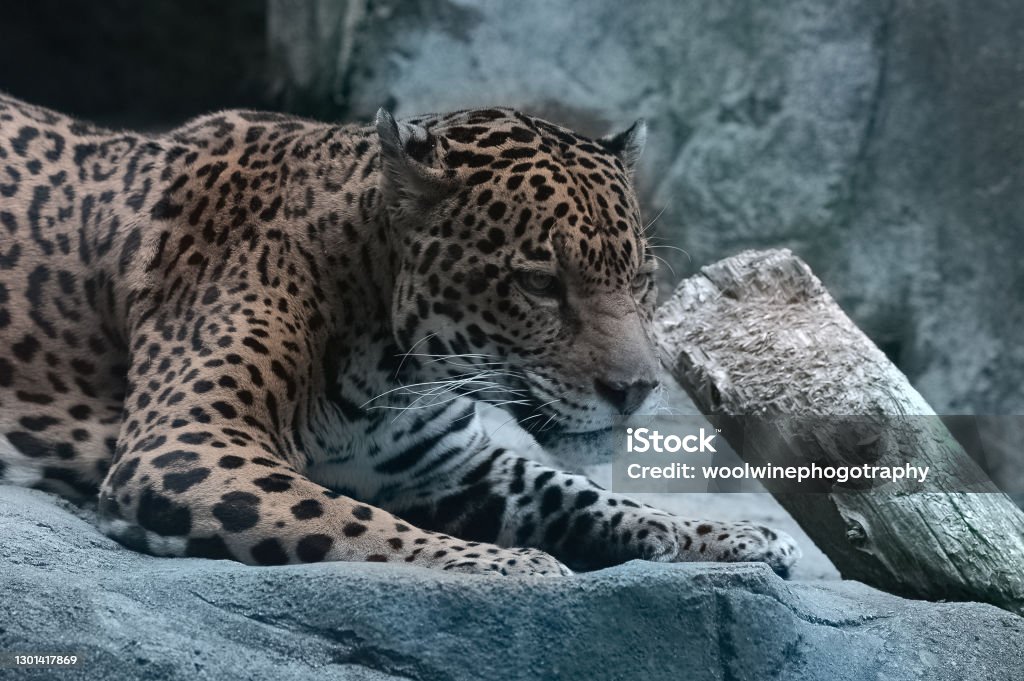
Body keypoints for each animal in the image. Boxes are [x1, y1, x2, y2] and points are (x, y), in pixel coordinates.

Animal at [0, 92, 800, 577]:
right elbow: (352, 521)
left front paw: (728, 536)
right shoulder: (185, 446)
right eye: (540, 283)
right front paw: (515, 567)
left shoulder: (446, 468)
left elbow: (576, 492)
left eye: (639, 280)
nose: (635, 390)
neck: (392, 370)